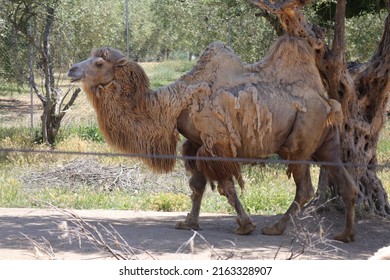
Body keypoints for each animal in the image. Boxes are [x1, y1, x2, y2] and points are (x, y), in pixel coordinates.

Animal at [68, 35, 358, 243]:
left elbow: (227, 186)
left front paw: (245, 225)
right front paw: (189, 223)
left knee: (304, 187)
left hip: (303, 137)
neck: (174, 104)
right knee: (346, 182)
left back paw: (276, 228)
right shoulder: (195, 143)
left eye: (99, 63)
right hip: (328, 142)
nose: (72, 69)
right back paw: (345, 235)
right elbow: (196, 186)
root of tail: (326, 101)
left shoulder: (216, 142)